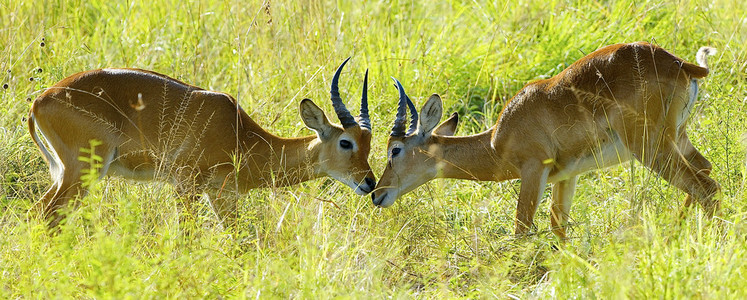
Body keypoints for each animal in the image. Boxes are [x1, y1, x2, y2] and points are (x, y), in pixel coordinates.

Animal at [30, 56, 376, 227]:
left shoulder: (223, 197)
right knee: (49, 214)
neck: (240, 137)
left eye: (370, 142)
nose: (369, 182)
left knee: (38, 212)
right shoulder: (186, 185)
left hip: (66, 173)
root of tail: (41, 100)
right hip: (84, 171)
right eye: (346, 142)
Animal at [374, 42, 720, 239]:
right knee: (706, 173)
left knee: (705, 187)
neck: (496, 142)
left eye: (395, 149)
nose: (377, 194)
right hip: (678, 138)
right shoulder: (566, 176)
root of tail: (680, 64)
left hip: (650, 148)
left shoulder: (533, 170)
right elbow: (558, 227)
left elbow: (522, 229)